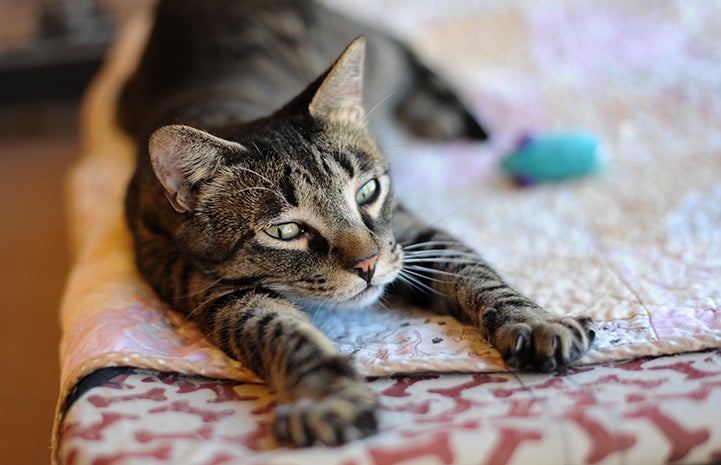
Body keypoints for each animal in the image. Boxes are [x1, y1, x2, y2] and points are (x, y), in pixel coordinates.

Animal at [122, 0, 596, 446]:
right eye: (285, 231)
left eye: (367, 191)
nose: (367, 265)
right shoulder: (212, 289)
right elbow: (280, 332)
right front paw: (328, 396)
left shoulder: (408, 234)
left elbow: (475, 273)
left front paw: (535, 321)